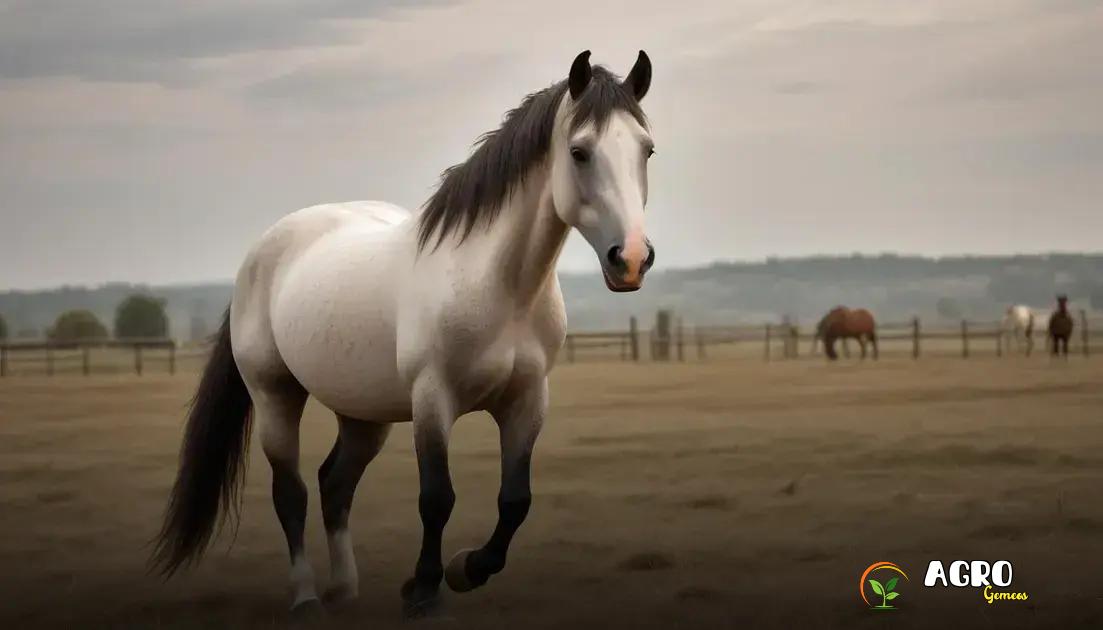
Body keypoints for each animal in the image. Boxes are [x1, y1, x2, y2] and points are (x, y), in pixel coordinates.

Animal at [151, 50, 658, 617]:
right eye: (579, 152)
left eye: (646, 149)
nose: (630, 259)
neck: (496, 285)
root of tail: (260, 254)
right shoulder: (433, 399)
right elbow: (436, 498)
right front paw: (424, 589)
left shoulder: (527, 401)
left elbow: (515, 501)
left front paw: (464, 569)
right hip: (275, 395)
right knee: (292, 493)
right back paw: (306, 597)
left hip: (363, 415)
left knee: (334, 485)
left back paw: (344, 588)